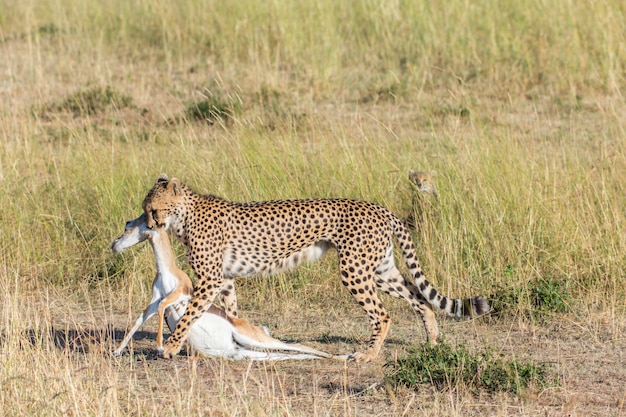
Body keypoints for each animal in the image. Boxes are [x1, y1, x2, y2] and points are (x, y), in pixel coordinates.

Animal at [143, 174, 488, 360]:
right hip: (380, 270)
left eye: (154, 209)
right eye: (144, 208)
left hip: (355, 270)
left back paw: (368, 354)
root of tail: (379, 208)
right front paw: (239, 334)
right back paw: (432, 341)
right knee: (420, 300)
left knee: (382, 314)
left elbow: (189, 314)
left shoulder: (210, 280)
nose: (147, 224)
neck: (185, 215)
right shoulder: (225, 279)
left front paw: (170, 348)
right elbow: (231, 312)